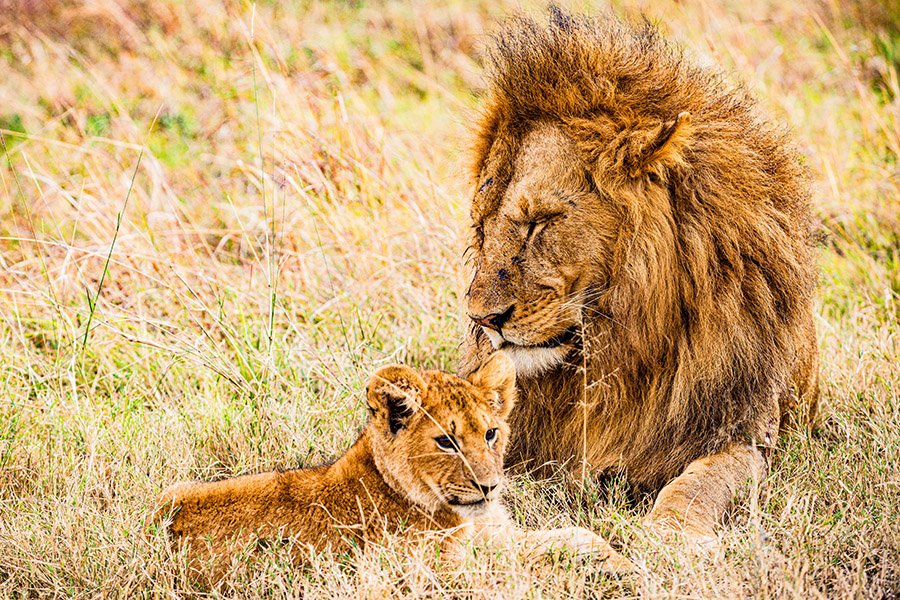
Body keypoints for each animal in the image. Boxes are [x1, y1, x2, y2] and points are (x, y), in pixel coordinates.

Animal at [153, 353, 632, 578]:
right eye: (446, 442)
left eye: (491, 434)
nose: (490, 487)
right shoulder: (440, 573)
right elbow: (535, 563)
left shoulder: (500, 537)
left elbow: (575, 534)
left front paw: (621, 560)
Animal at [460, 7, 819, 545]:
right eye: (482, 224)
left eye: (539, 221)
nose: (482, 319)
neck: (621, 343)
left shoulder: (745, 431)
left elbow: (698, 485)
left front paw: (667, 539)